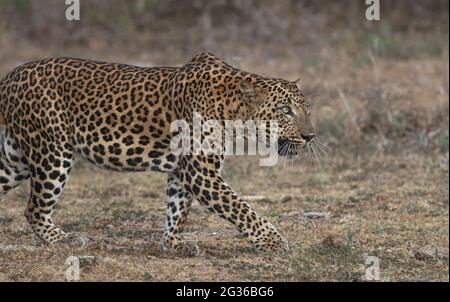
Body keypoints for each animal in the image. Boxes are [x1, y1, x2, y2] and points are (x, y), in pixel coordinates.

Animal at [0, 52, 314, 255]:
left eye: (307, 111)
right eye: (285, 110)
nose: (310, 136)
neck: (233, 110)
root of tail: (10, 76)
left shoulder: (183, 170)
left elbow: (177, 208)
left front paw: (174, 244)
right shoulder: (201, 172)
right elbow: (240, 207)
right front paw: (273, 241)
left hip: (16, 159)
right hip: (52, 152)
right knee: (34, 209)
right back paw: (62, 240)